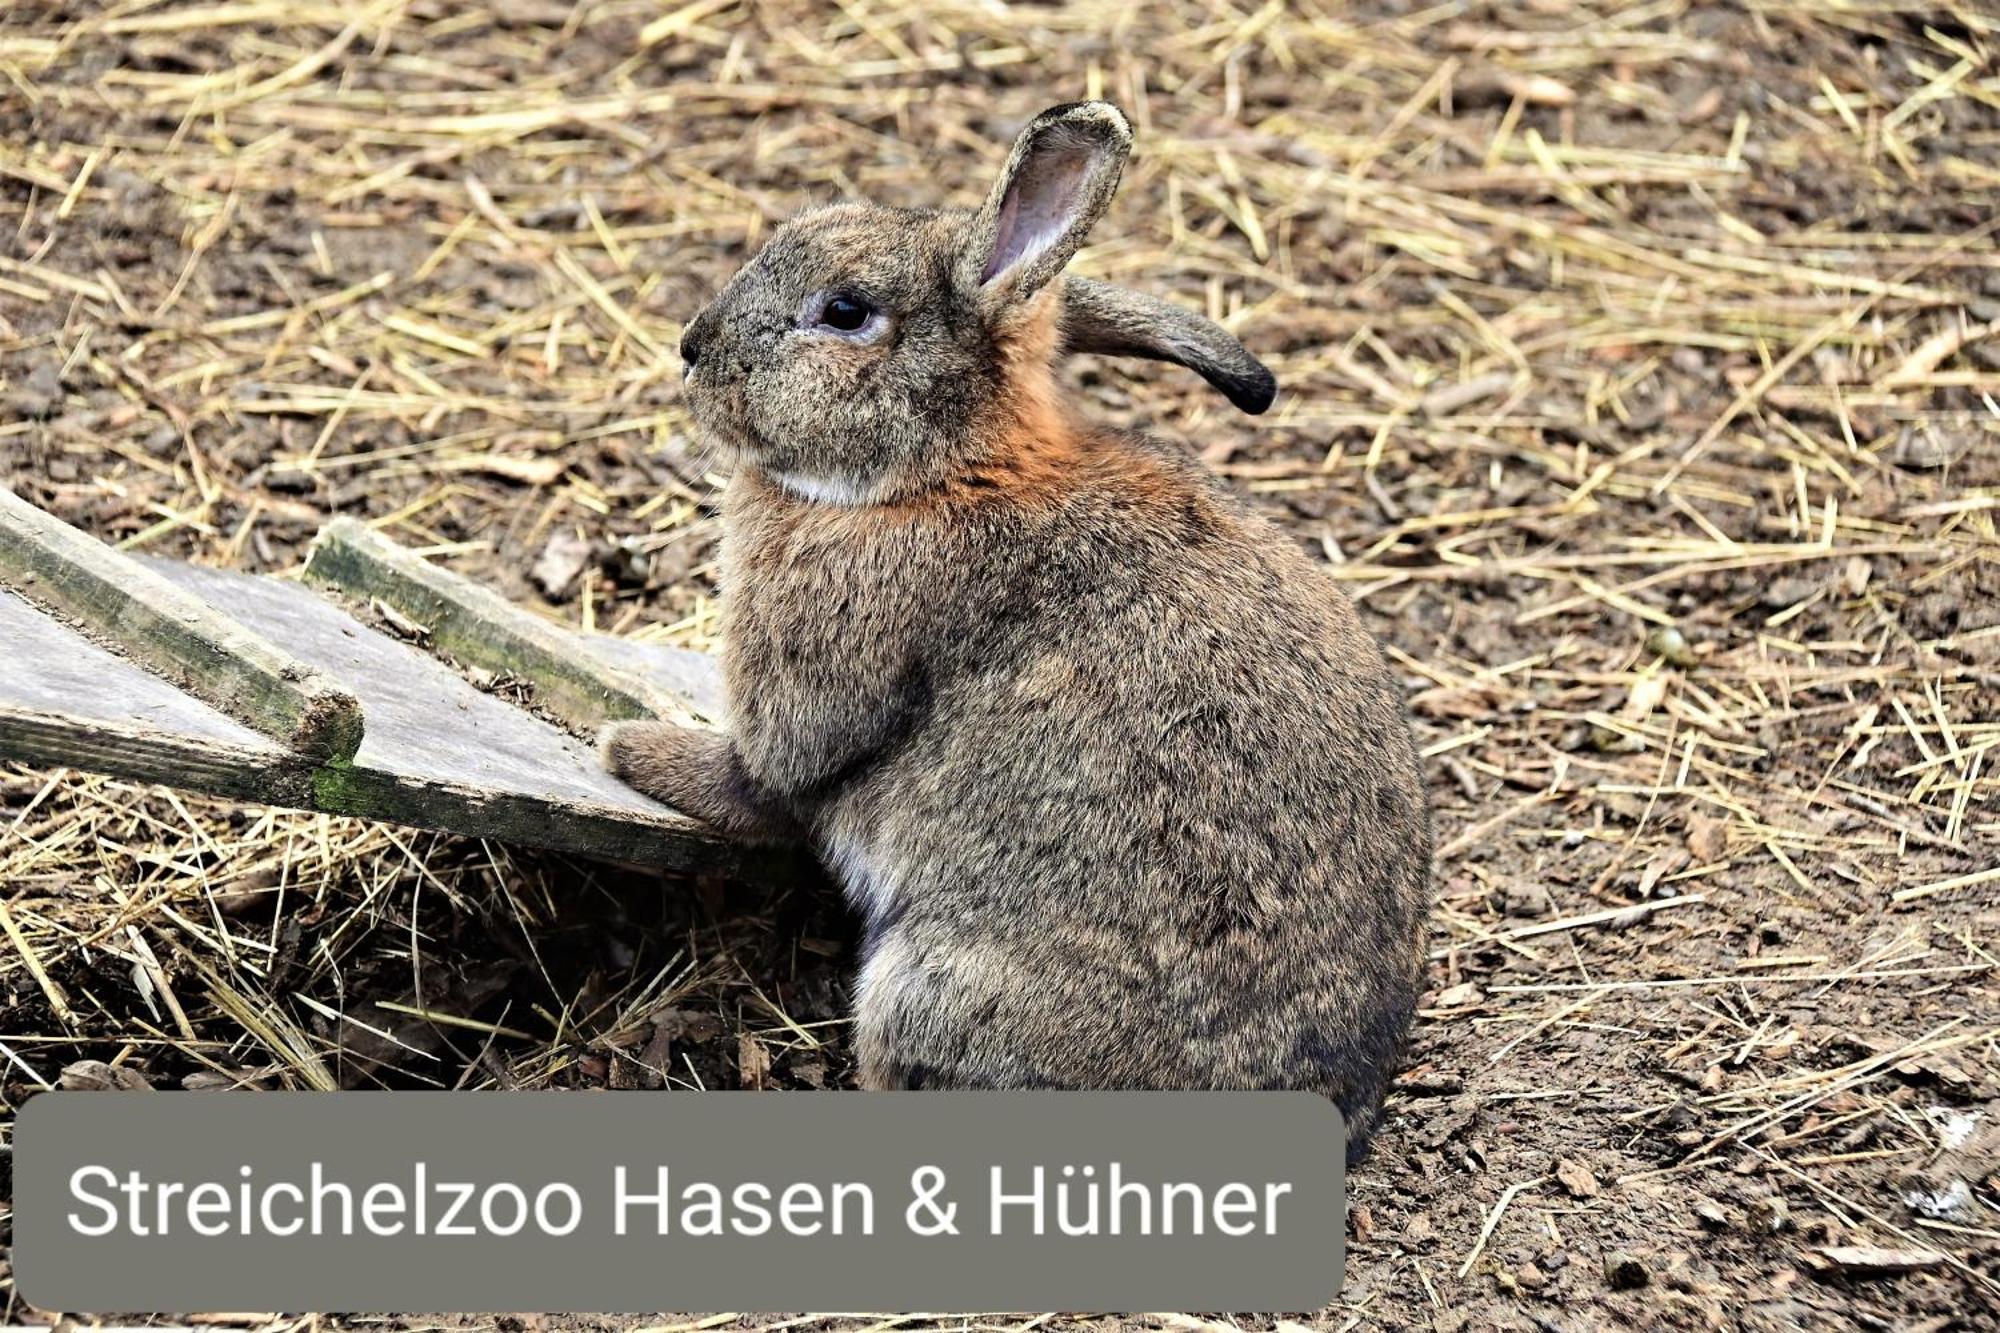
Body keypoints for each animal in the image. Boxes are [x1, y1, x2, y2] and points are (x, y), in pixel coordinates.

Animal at [600, 101, 1432, 1160]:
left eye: (846, 312)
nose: (692, 349)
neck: (938, 472)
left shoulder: (811, 690)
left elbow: (764, 778)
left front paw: (629, 749)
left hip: (922, 995)